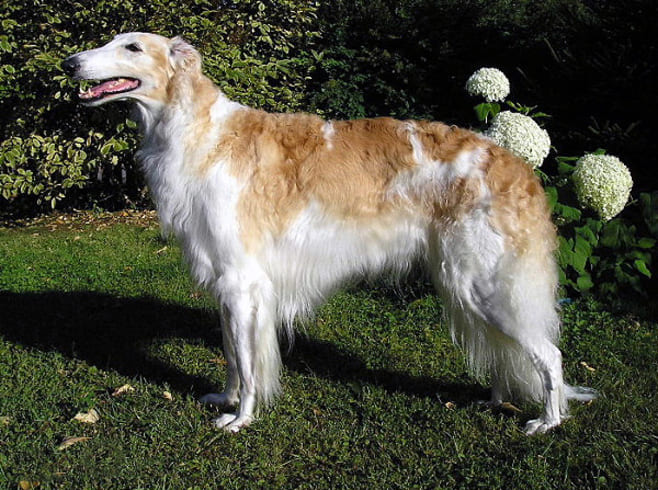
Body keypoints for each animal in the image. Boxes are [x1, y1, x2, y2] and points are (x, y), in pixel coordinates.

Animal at [62, 32, 596, 434]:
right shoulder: (225, 283)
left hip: (482, 282)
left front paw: (241, 418)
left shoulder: (242, 282)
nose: (69, 63)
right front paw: (226, 399)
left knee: (548, 354)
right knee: (505, 353)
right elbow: (233, 356)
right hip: (464, 282)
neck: (199, 133)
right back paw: (495, 400)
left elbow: (250, 363)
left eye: (132, 46)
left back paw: (548, 422)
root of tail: (516, 164)